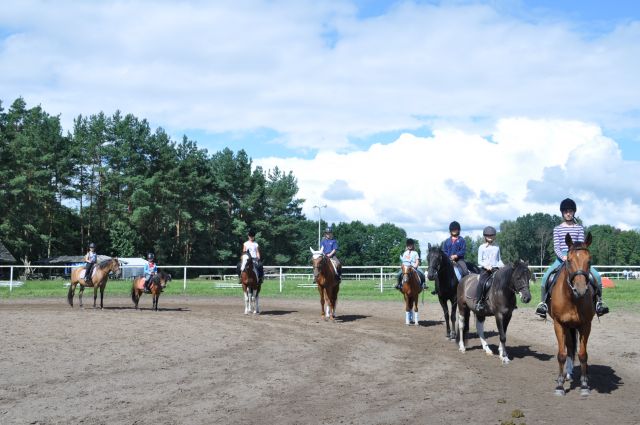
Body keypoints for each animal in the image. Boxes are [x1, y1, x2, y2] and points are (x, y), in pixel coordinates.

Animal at [548, 232, 596, 394]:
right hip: (568, 326)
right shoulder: (559, 324)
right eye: (568, 260)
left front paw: (584, 384)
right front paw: (559, 385)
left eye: (589, 260)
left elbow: (582, 354)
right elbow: (562, 354)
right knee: (569, 347)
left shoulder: (585, 325)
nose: (580, 289)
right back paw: (567, 374)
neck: (572, 298)